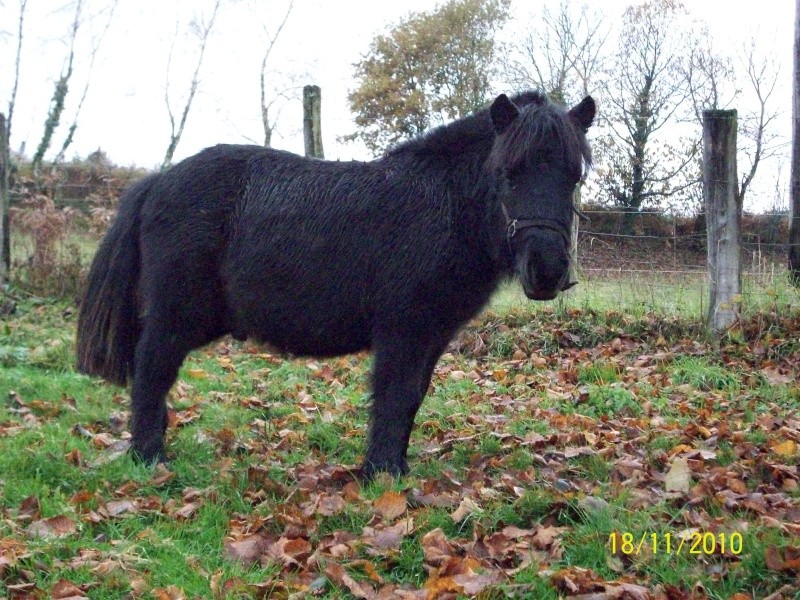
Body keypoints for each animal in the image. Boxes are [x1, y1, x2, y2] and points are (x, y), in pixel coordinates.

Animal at [76, 91, 592, 476]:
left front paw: (397, 468)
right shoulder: (402, 332)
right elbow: (394, 396)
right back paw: (150, 459)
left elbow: (411, 399)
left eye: (574, 176)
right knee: (151, 370)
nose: (547, 269)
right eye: (508, 172)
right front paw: (382, 475)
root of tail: (158, 182)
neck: (443, 206)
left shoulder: (432, 336)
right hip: (177, 316)